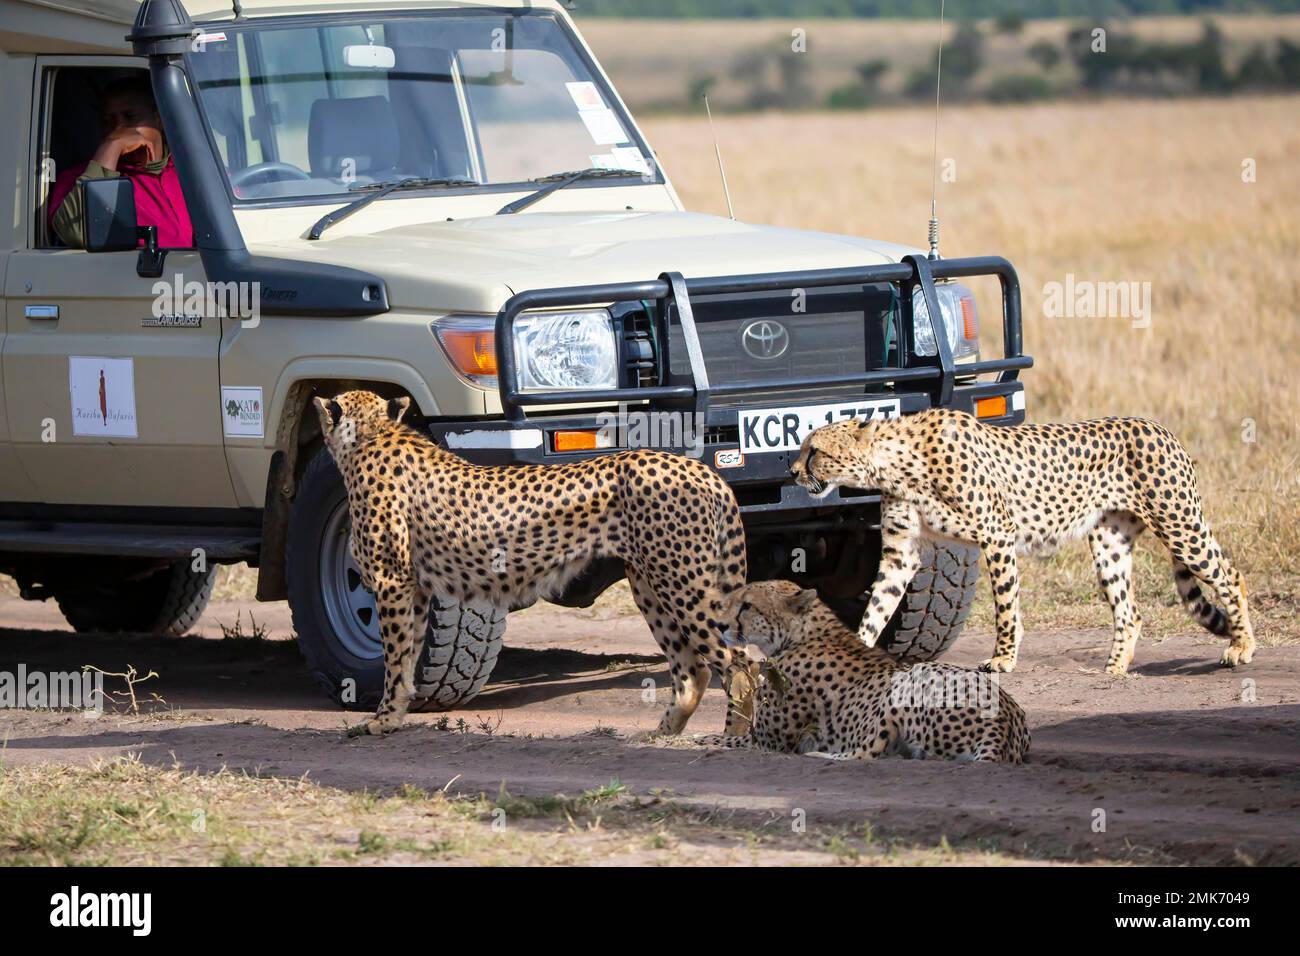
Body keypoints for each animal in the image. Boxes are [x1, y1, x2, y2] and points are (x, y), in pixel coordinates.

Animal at [313, 392, 754, 738]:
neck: (373, 434)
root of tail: (701, 468)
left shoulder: (391, 581)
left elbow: (394, 656)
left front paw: (383, 720)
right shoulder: (416, 588)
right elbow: (407, 656)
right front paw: (395, 714)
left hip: (682, 583)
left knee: (738, 661)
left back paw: (735, 735)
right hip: (649, 584)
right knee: (694, 668)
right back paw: (662, 732)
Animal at [696, 582, 1029, 764]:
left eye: (747, 606)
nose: (720, 626)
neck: (802, 634)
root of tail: (1005, 720)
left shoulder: (769, 741)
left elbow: (731, 739)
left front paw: (700, 738)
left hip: (909, 684)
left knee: (868, 752)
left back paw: (817, 754)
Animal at [785, 408, 1253, 676]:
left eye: (814, 451)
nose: (791, 471)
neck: (895, 461)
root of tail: (1159, 426)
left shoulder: (997, 534)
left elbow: (1005, 608)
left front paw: (1003, 658)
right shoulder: (902, 553)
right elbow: (876, 610)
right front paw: (855, 651)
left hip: (1179, 525)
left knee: (1231, 575)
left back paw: (1241, 646)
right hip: (1110, 543)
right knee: (1130, 610)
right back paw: (1115, 668)